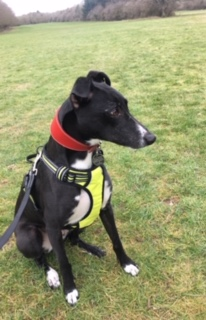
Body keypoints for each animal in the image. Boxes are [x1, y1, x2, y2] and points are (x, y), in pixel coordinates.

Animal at [14, 71, 155, 306]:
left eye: (126, 105)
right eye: (114, 111)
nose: (151, 137)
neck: (82, 162)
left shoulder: (105, 208)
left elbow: (116, 240)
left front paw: (126, 264)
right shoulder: (53, 225)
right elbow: (64, 262)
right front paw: (70, 290)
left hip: (84, 221)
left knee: (72, 239)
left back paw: (92, 249)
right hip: (28, 237)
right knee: (42, 259)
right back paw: (51, 276)